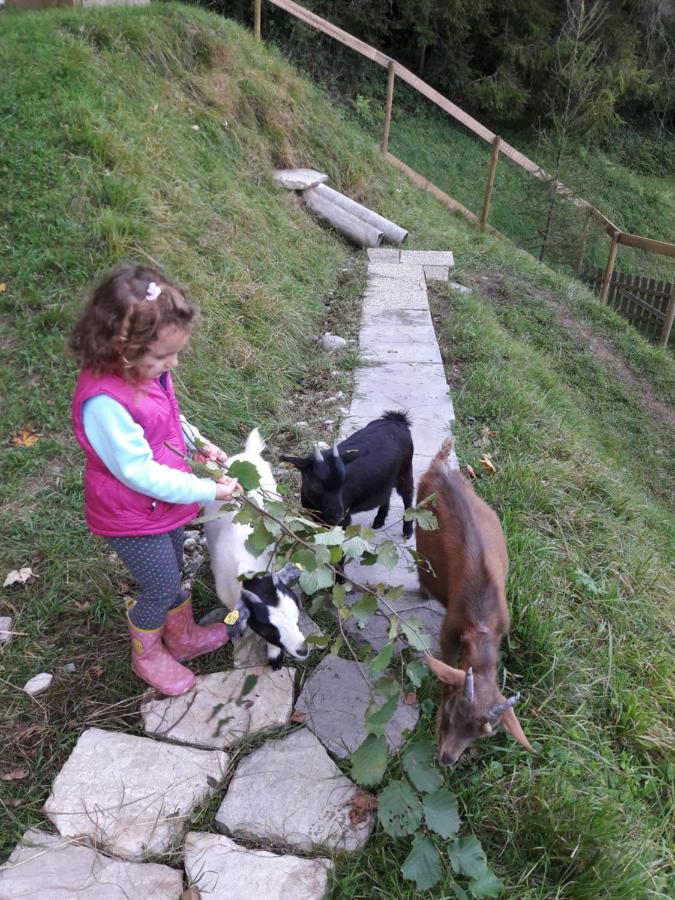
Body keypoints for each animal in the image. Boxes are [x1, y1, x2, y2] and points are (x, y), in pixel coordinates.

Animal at [282, 412, 418, 536]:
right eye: (317, 486)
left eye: (342, 484)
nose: (338, 515)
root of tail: (397, 420)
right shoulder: (317, 518)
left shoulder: (344, 519)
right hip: (386, 479)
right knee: (386, 495)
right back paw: (379, 521)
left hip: (405, 472)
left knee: (408, 496)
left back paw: (408, 530)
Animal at [418, 440, 532, 764]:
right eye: (453, 711)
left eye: (484, 734)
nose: (447, 758)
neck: (482, 622)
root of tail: (441, 467)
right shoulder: (449, 629)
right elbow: (446, 667)